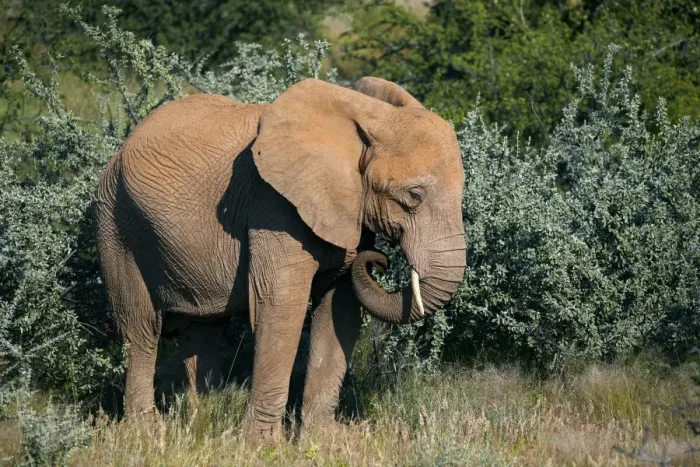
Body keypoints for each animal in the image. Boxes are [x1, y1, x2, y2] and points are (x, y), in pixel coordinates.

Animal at [95, 76, 466, 443]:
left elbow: (339, 308)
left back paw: (205, 420)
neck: (369, 117)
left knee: (201, 329)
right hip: (117, 223)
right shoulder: (274, 206)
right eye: (414, 196)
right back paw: (147, 434)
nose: (379, 261)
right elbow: (281, 306)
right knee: (141, 330)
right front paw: (263, 447)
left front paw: (322, 441)